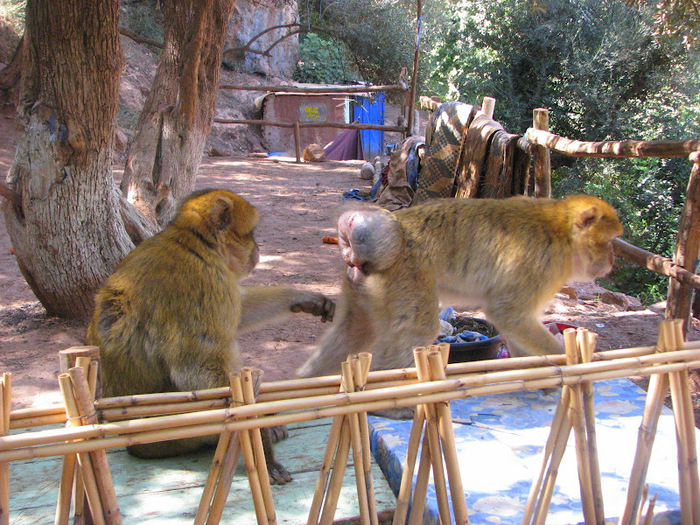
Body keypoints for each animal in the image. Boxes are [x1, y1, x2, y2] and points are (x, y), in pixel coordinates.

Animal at [86, 187, 334, 484]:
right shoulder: (203, 281)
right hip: (174, 435)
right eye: (250, 233)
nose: (258, 250)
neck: (196, 244)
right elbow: (196, 371)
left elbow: (239, 314)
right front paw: (262, 448)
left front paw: (302, 298)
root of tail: (135, 446)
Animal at [300, 192, 624, 376]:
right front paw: (575, 361)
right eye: (609, 241)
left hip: (362, 286)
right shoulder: (542, 265)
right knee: (418, 328)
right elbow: (509, 314)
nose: (611, 260)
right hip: (403, 274)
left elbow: (513, 322)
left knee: (352, 332)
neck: (561, 232)